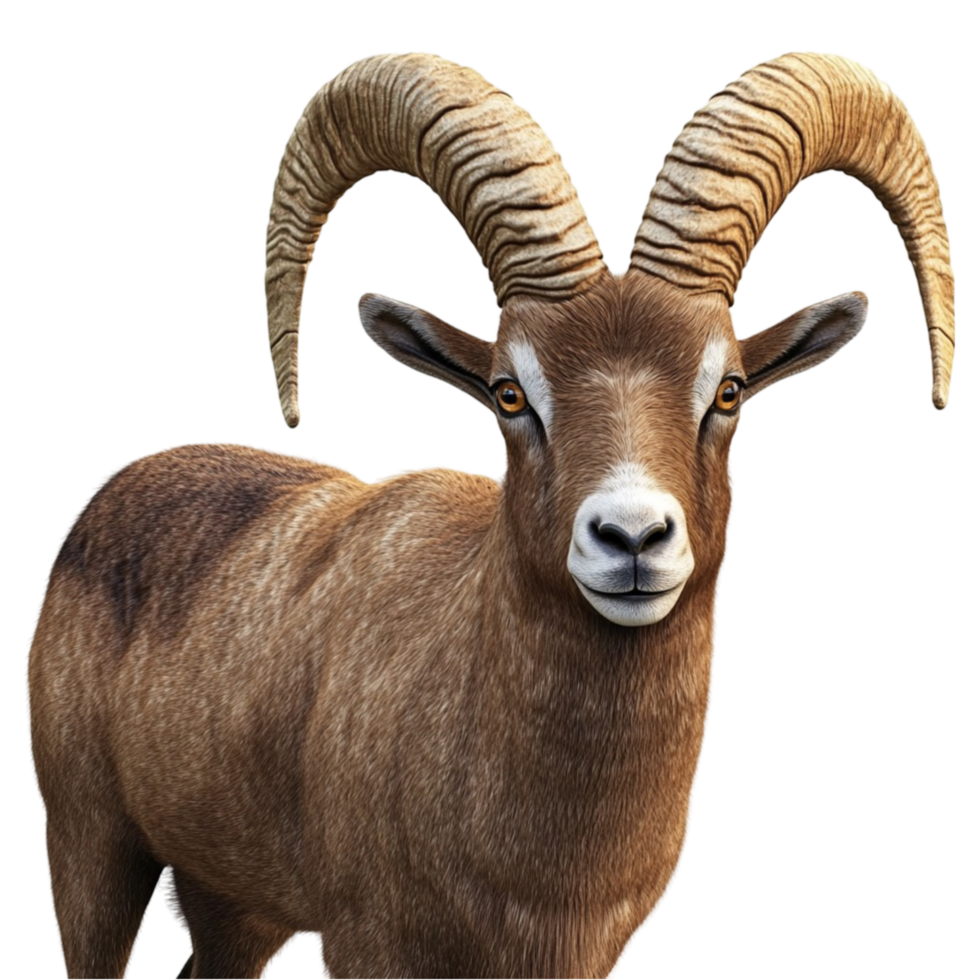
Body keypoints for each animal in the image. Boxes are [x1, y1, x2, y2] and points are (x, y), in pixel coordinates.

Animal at [24, 49, 953, 980]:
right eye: (510, 392)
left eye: (726, 389)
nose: (631, 539)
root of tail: (108, 499)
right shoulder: (364, 946)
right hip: (91, 854)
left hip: (236, 911)